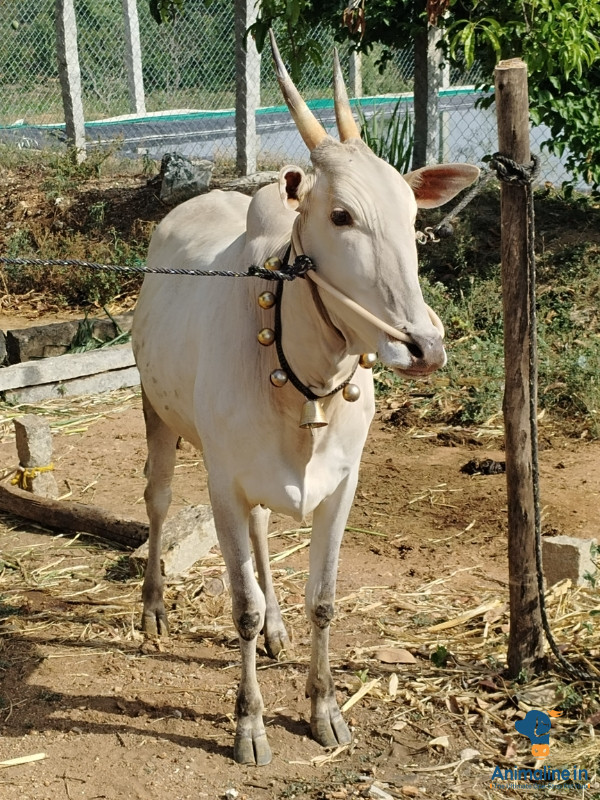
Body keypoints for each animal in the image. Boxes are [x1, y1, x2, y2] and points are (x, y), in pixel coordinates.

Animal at [131, 31, 479, 766]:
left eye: (413, 216)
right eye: (341, 214)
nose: (425, 346)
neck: (301, 380)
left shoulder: (341, 483)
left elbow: (324, 599)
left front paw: (324, 709)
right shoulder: (224, 485)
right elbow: (238, 607)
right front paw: (249, 724)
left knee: (265, 535)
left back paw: (278, 630)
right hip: (157, 413)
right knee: (158, 500)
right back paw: (152, 608)